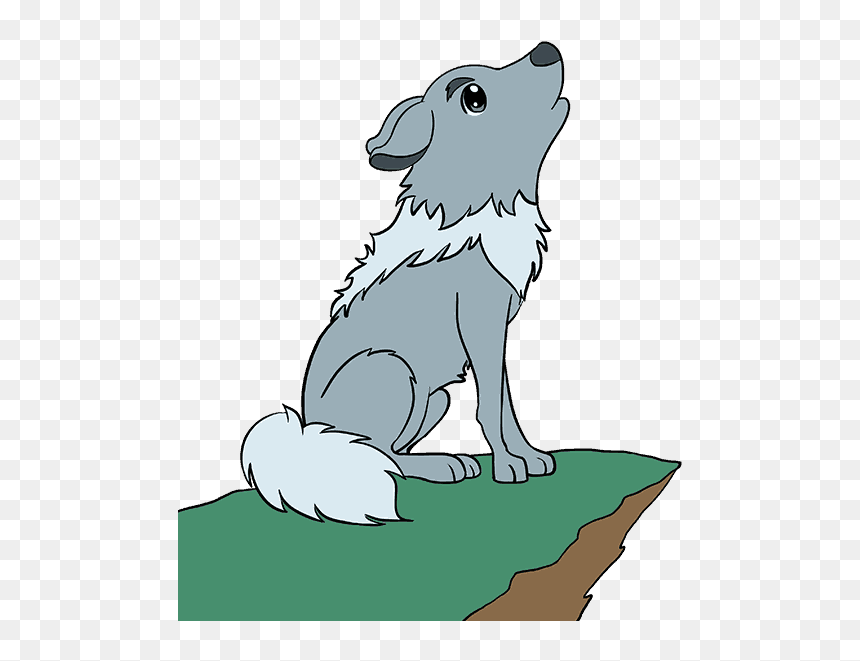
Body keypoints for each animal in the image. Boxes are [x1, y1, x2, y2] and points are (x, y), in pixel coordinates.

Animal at [241, 42, 570, 524]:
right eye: (474, 97)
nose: (545, 50)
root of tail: (308, 434)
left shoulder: (496, 334)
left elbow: (506, 402)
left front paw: (528, 456)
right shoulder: (480, 324)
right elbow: (491, 405)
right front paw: (508, 467)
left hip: (435, 398)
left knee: (387, 451)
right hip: (394, 370)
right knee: (381, 455)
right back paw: (444, 466)